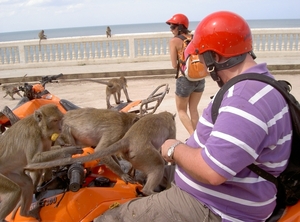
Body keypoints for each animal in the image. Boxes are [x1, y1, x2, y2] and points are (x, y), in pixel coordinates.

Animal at [25, 112, 177, 195]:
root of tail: (129, 138)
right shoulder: (117, 129)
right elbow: (100, 151)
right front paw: (122, 174)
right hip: (143, 153)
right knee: (158, 165)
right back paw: (148, 191)